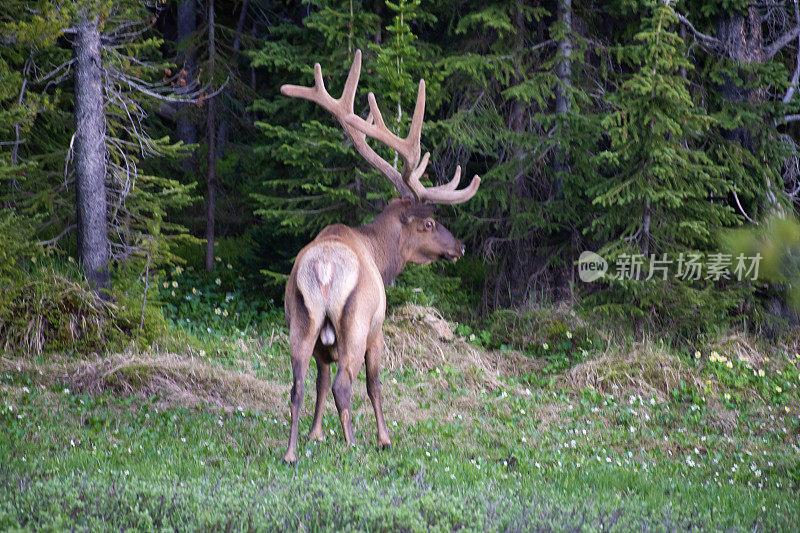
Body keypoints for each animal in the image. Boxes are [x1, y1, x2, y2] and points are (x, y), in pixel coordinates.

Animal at [282, 50, 482, 462]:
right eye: (429, 222)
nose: (460, 247)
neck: (378, 253)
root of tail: (324, 269)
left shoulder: (323, 346)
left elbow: (319, 382)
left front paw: (315, 435)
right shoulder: (378, 329)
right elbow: (374, 384)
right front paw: (384, 438)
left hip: (301, 320)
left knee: (297, 386)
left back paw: (291, 453)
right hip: (356, 323)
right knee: (345, 384)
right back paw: (354, 446)